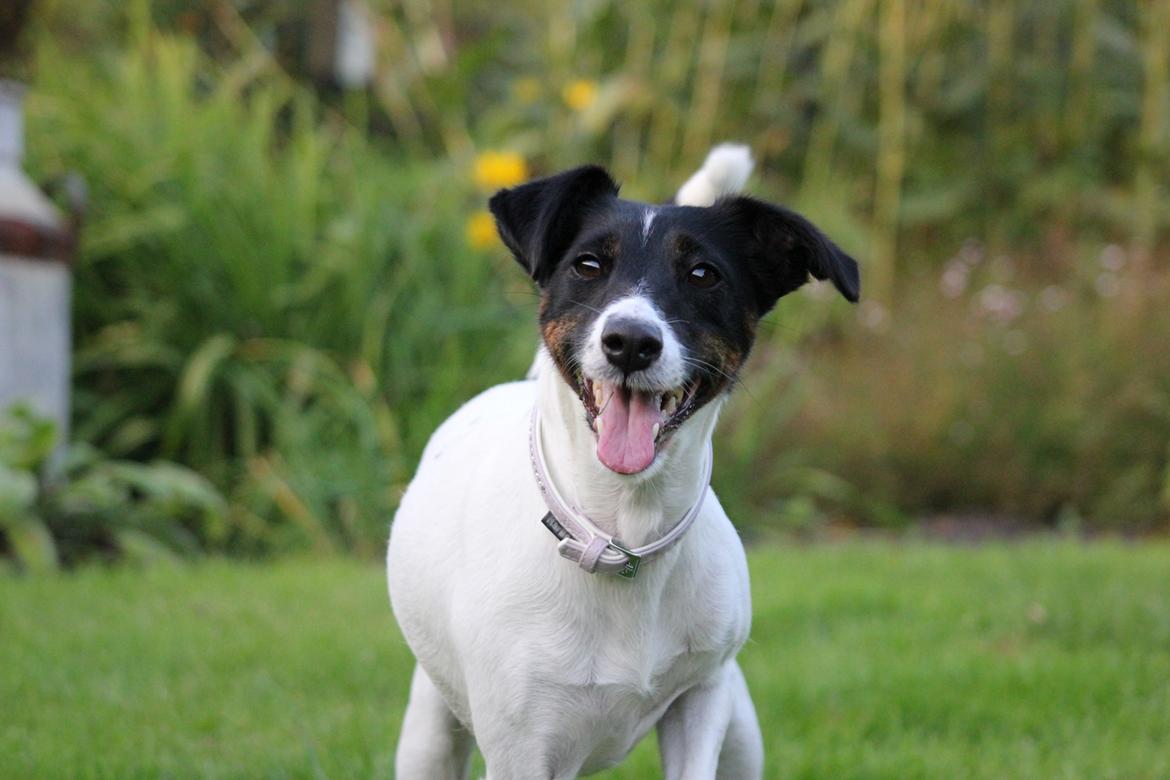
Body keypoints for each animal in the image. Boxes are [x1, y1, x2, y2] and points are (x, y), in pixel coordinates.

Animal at [388, 143, 856, 776]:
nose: (630, 341)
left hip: (740, 730)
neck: (618, 536)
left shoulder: (701, 702)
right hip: (431, 729)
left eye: (703, 274)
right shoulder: (520, 747)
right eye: (587, 265)